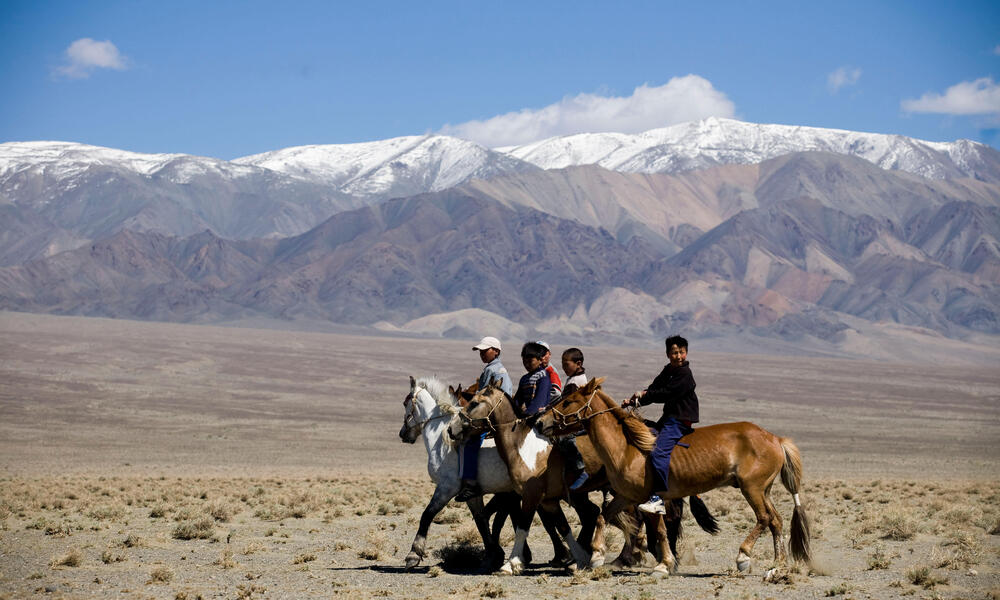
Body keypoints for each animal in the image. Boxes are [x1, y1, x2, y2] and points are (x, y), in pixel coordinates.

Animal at [536, 378, 808, 576]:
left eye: (569, 401)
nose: (539, 422)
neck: (626, 447)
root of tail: (776, 439)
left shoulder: (649, 499)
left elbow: (659, 531)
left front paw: (663, 565)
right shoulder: (627, 496)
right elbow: (604, 517)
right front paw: (597, 555)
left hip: (751, 488)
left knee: (764, 518)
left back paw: (743, 557)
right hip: (764, 489)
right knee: (776, 521)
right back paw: (777, 565)